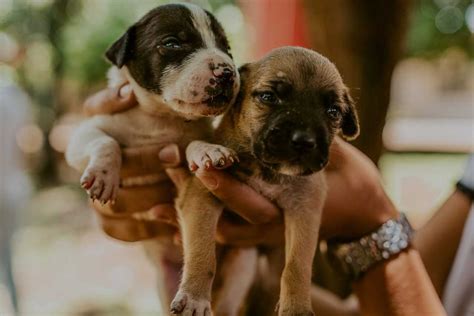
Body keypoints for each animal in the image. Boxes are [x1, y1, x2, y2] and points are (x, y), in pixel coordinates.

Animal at [171, 47, 360, 316]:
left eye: (333, 111)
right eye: (269, 97)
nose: (304, 141)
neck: (265, 169)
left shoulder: (305, 210)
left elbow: (297, 265)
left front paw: (297, 306)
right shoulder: (200, 196)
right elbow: (202, 252)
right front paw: (194, 297)